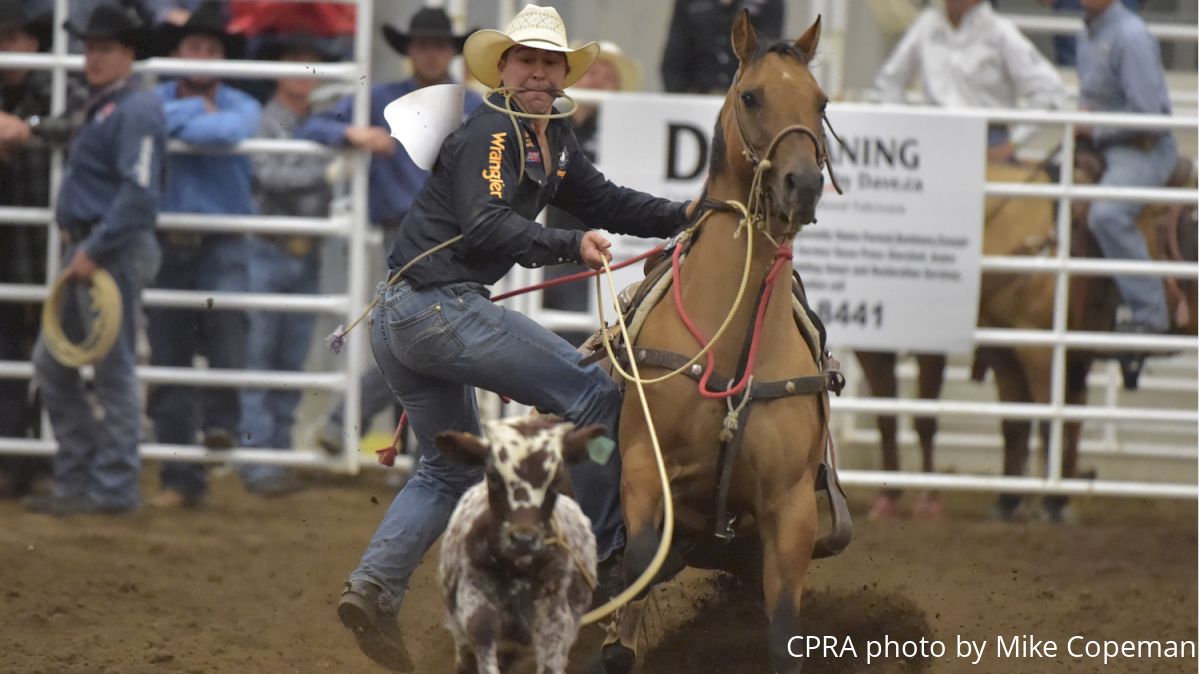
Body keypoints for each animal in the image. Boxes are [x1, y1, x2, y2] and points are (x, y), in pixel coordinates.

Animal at [436, 414, 604, 671]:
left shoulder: (554, 619)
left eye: (554, 479)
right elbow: (482, 632)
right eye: (494, 476)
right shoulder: (475, 597)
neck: (517, 569)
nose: (523, 539)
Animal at [597, 11, 844, 671]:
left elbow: (784, 635)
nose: (802, 184)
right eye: (751, 96)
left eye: (821, 101)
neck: (732, 348)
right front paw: (615, 636)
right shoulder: (643, 469)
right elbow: (636, 569)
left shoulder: (790, 510)